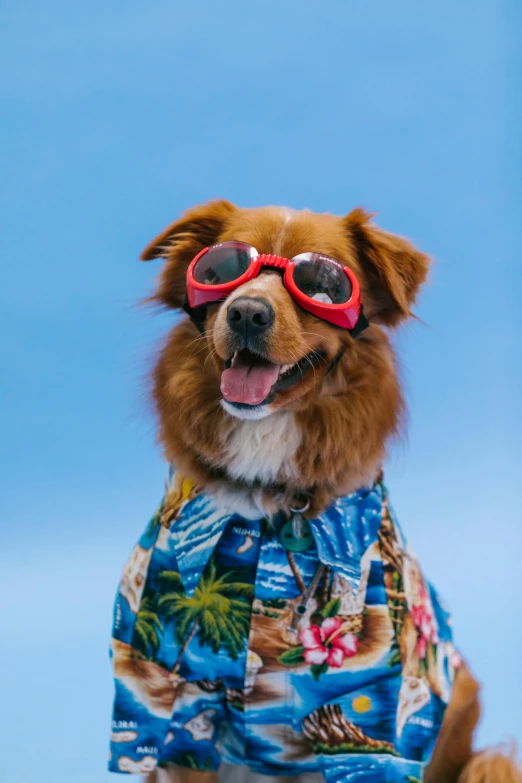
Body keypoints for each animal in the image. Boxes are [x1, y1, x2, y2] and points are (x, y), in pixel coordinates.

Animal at [107, 202, 516, 783]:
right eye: (219, 269)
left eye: (322, 285)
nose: (247, 313)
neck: (269, 494)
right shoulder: (164, 686)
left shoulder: (382, 706)